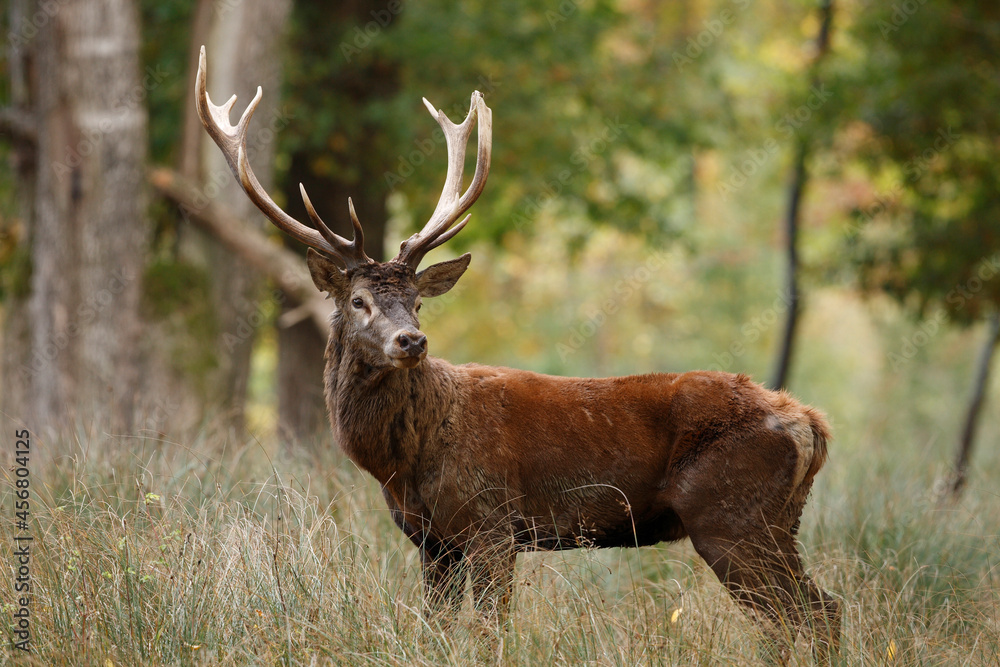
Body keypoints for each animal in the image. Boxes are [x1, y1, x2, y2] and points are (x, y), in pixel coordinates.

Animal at [196, 47, 840, 662]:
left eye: (417, 302)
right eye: (359, 300)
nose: (412, 341)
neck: (404, 459)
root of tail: (810, 423)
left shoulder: (492, 523)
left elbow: (489, 632)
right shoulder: (433, 541)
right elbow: (435, 631)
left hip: (732, 517)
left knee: (807, 614)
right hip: (774, 522)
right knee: (817, 610)